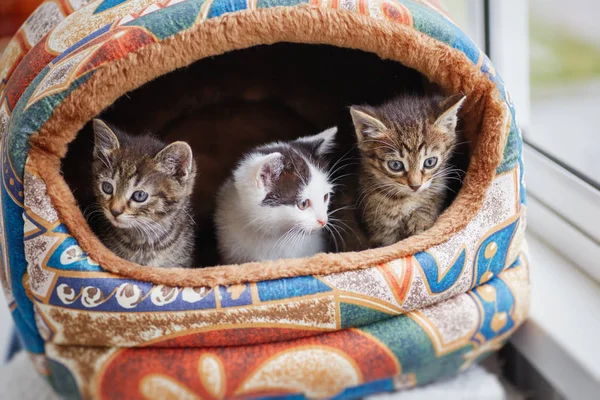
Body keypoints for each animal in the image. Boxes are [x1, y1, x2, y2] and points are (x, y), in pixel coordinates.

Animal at [350, 93, 466, 247]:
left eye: (430, 162)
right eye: (395, 165)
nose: (415, 186)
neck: (407, 198)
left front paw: (421, 219)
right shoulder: (382, 231)